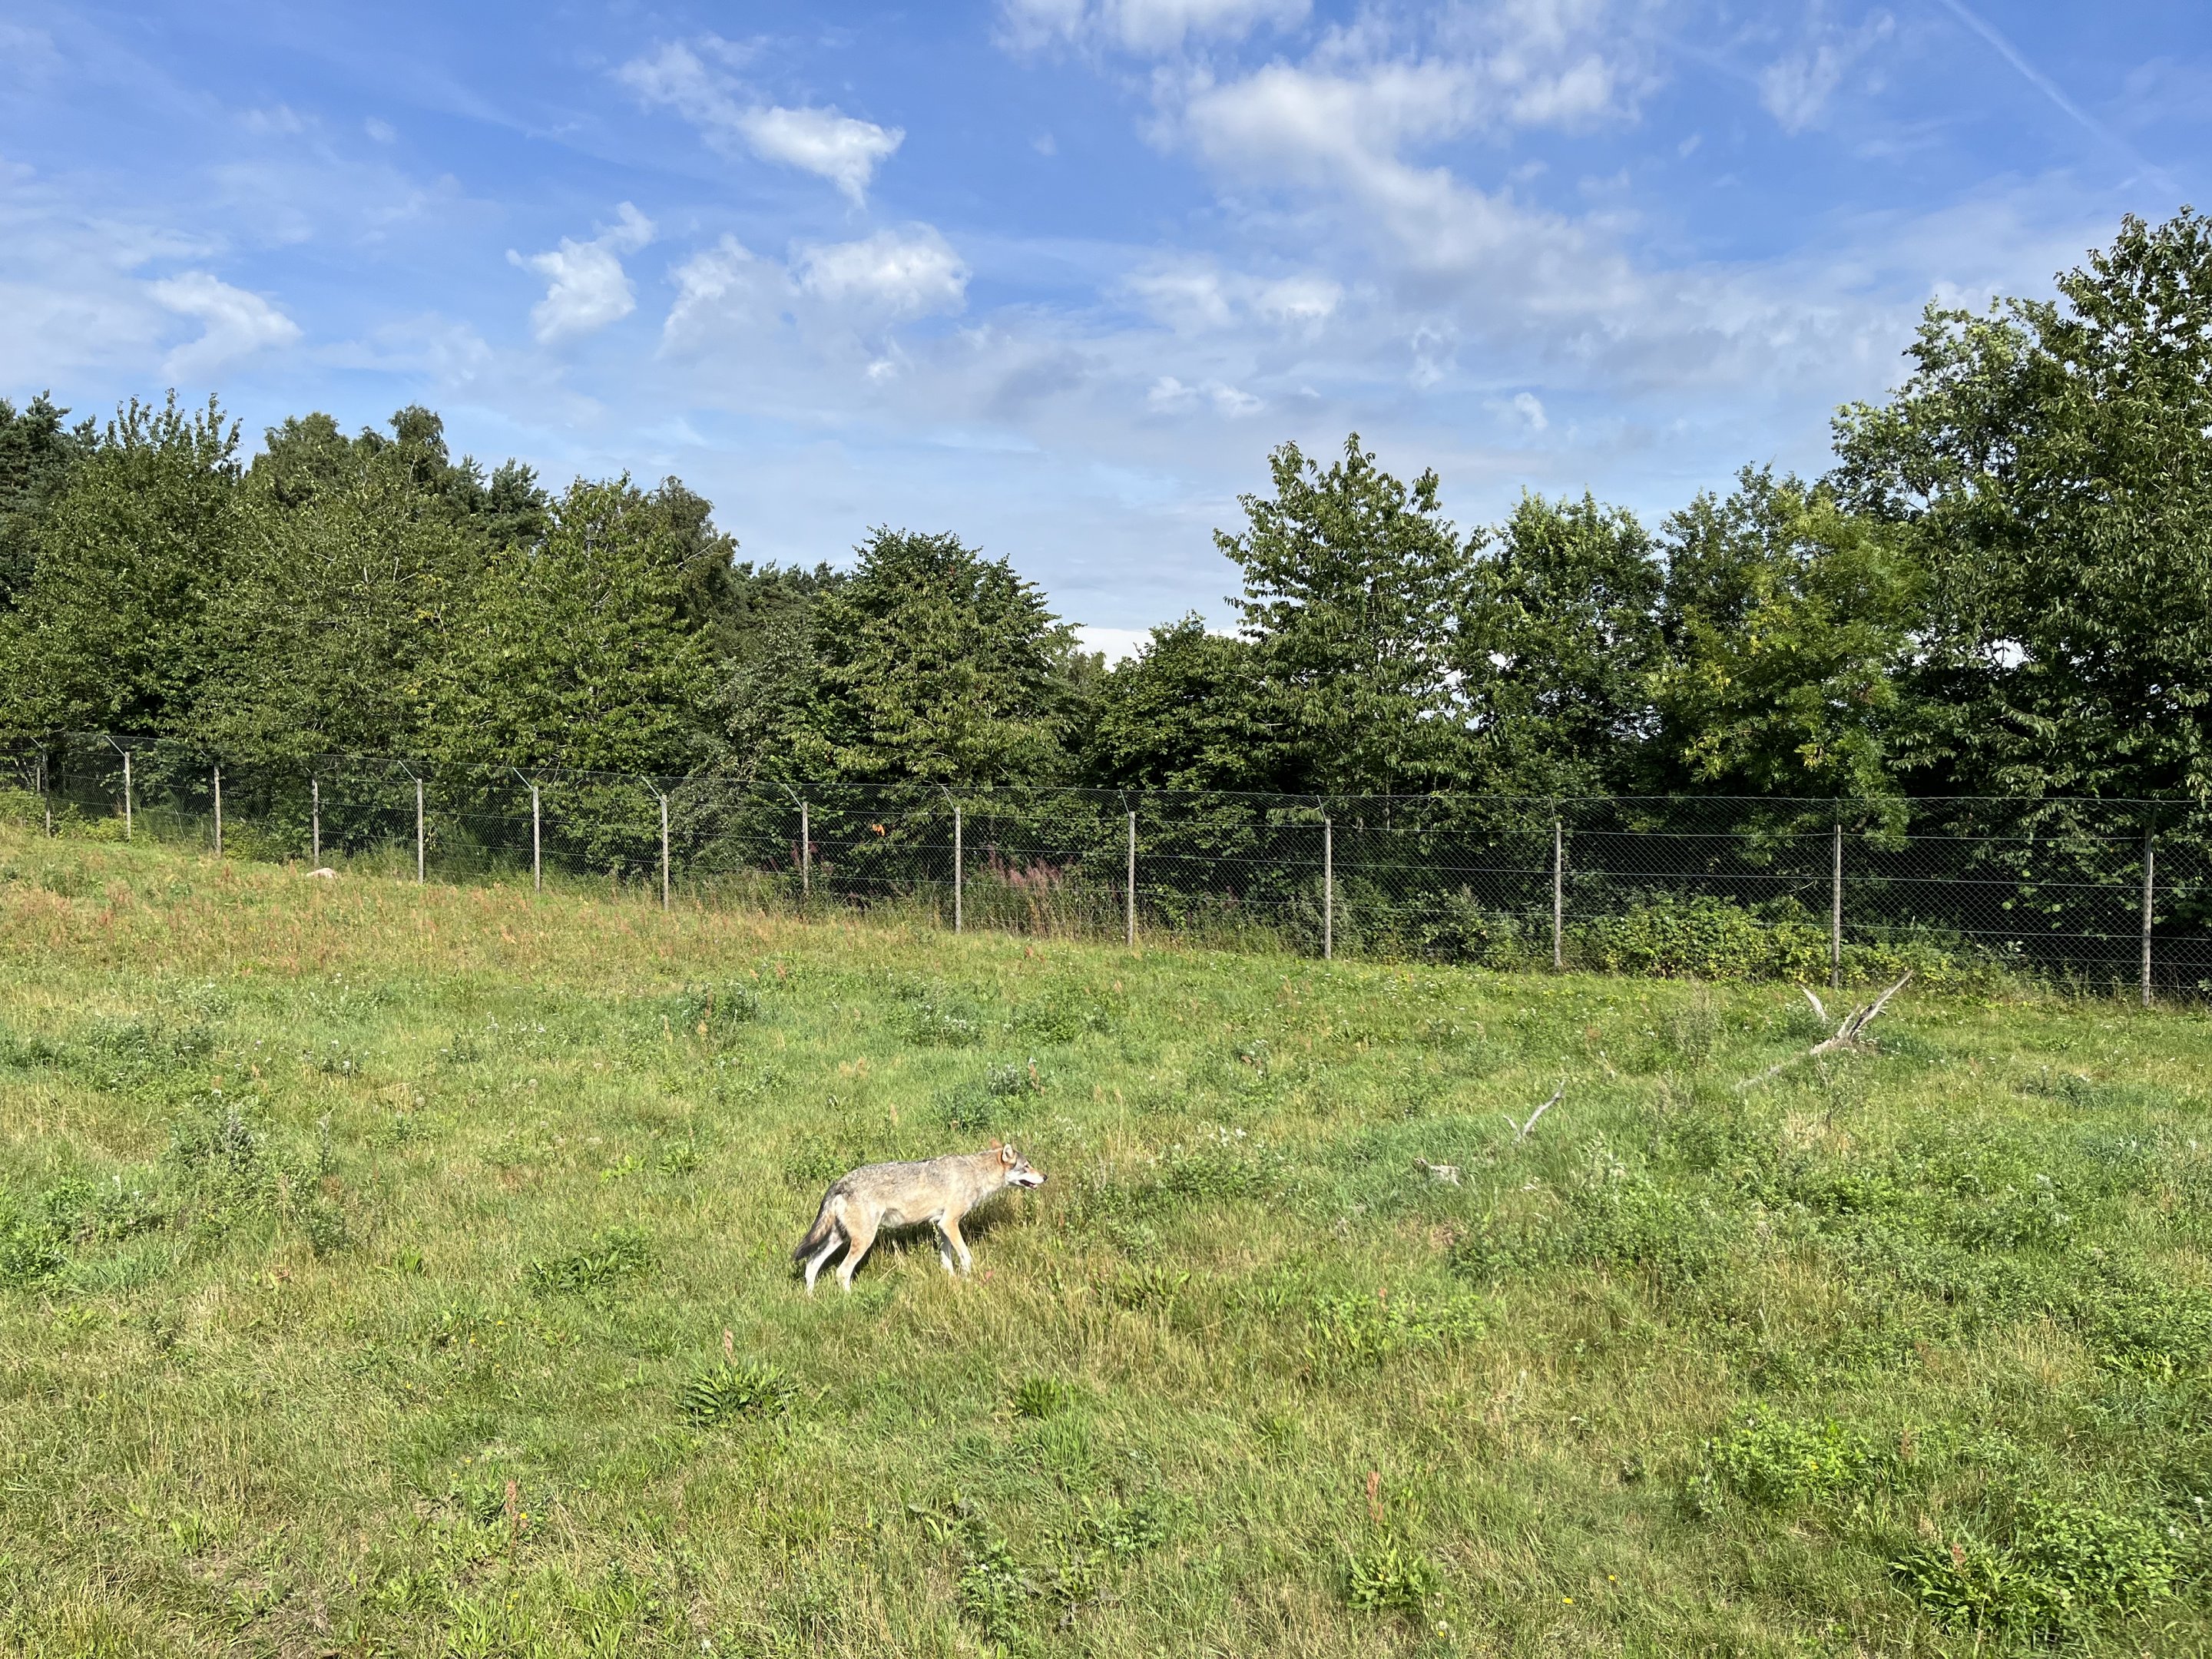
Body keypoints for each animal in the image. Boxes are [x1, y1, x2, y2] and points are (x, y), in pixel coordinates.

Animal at [792, 1142, 1045, 1293]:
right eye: (1026, 1166)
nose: (1046, 1176)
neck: (975, 1173)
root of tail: (839, 1182)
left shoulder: (942, 1227)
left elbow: (946, 1261)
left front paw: (952, 1281)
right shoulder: (950, 1223)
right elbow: (967, 1258)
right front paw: (966, 1280)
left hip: (840, 1239)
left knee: (811, 1265)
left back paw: (811, 1299)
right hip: (863, 1241)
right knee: (841, 1272)